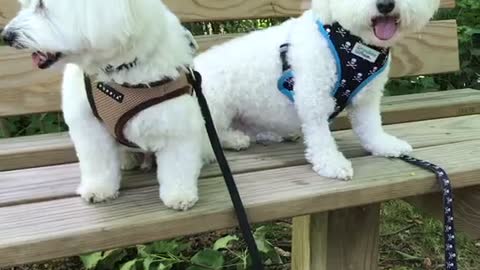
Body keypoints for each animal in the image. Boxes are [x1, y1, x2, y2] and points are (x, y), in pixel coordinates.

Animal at [1, 0, 209, 211]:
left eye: (42, 5)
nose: (7, 36)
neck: (117, 71)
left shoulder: (176, 124)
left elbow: (178, 164)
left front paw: (179, 195)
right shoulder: (89, 125)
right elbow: (98, 161)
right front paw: (98, 189)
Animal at [194, 0, 438, 181]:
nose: (385, 4)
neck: (351, 43)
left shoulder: (367, 98)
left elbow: (370, 126)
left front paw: (384, 145)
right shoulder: (314, 95)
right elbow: (321, 136)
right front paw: (332, 163)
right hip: (215, 103)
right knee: (211, 135)